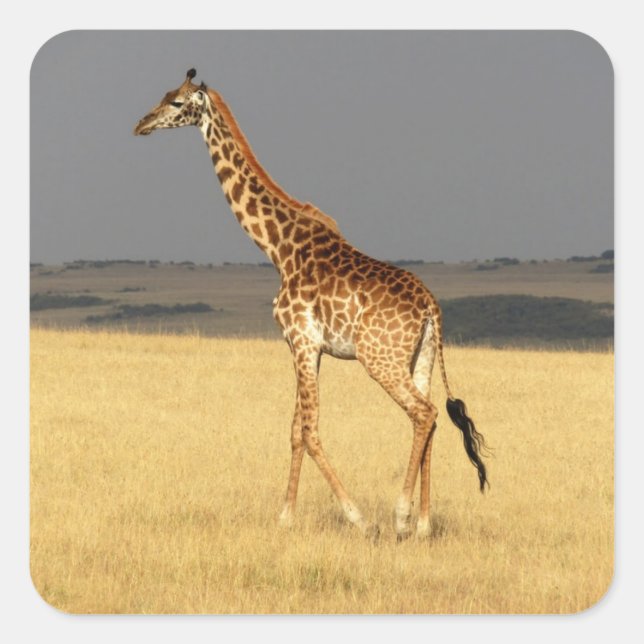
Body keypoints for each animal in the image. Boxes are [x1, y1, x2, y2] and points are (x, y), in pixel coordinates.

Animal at [134, 69, 488, 541]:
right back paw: (424, 525)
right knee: (429, 420)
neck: (278, 247)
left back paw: (399, 518)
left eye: (176, 103)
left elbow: (310, 429)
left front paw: (358, 518)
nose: (141, 125)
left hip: (380, 358)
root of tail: (432, 308)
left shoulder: (301, 340)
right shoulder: (304, 346)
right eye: (163, 95)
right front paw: (284, 517)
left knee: (423, 412)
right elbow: (294, 430)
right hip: (422, 358)